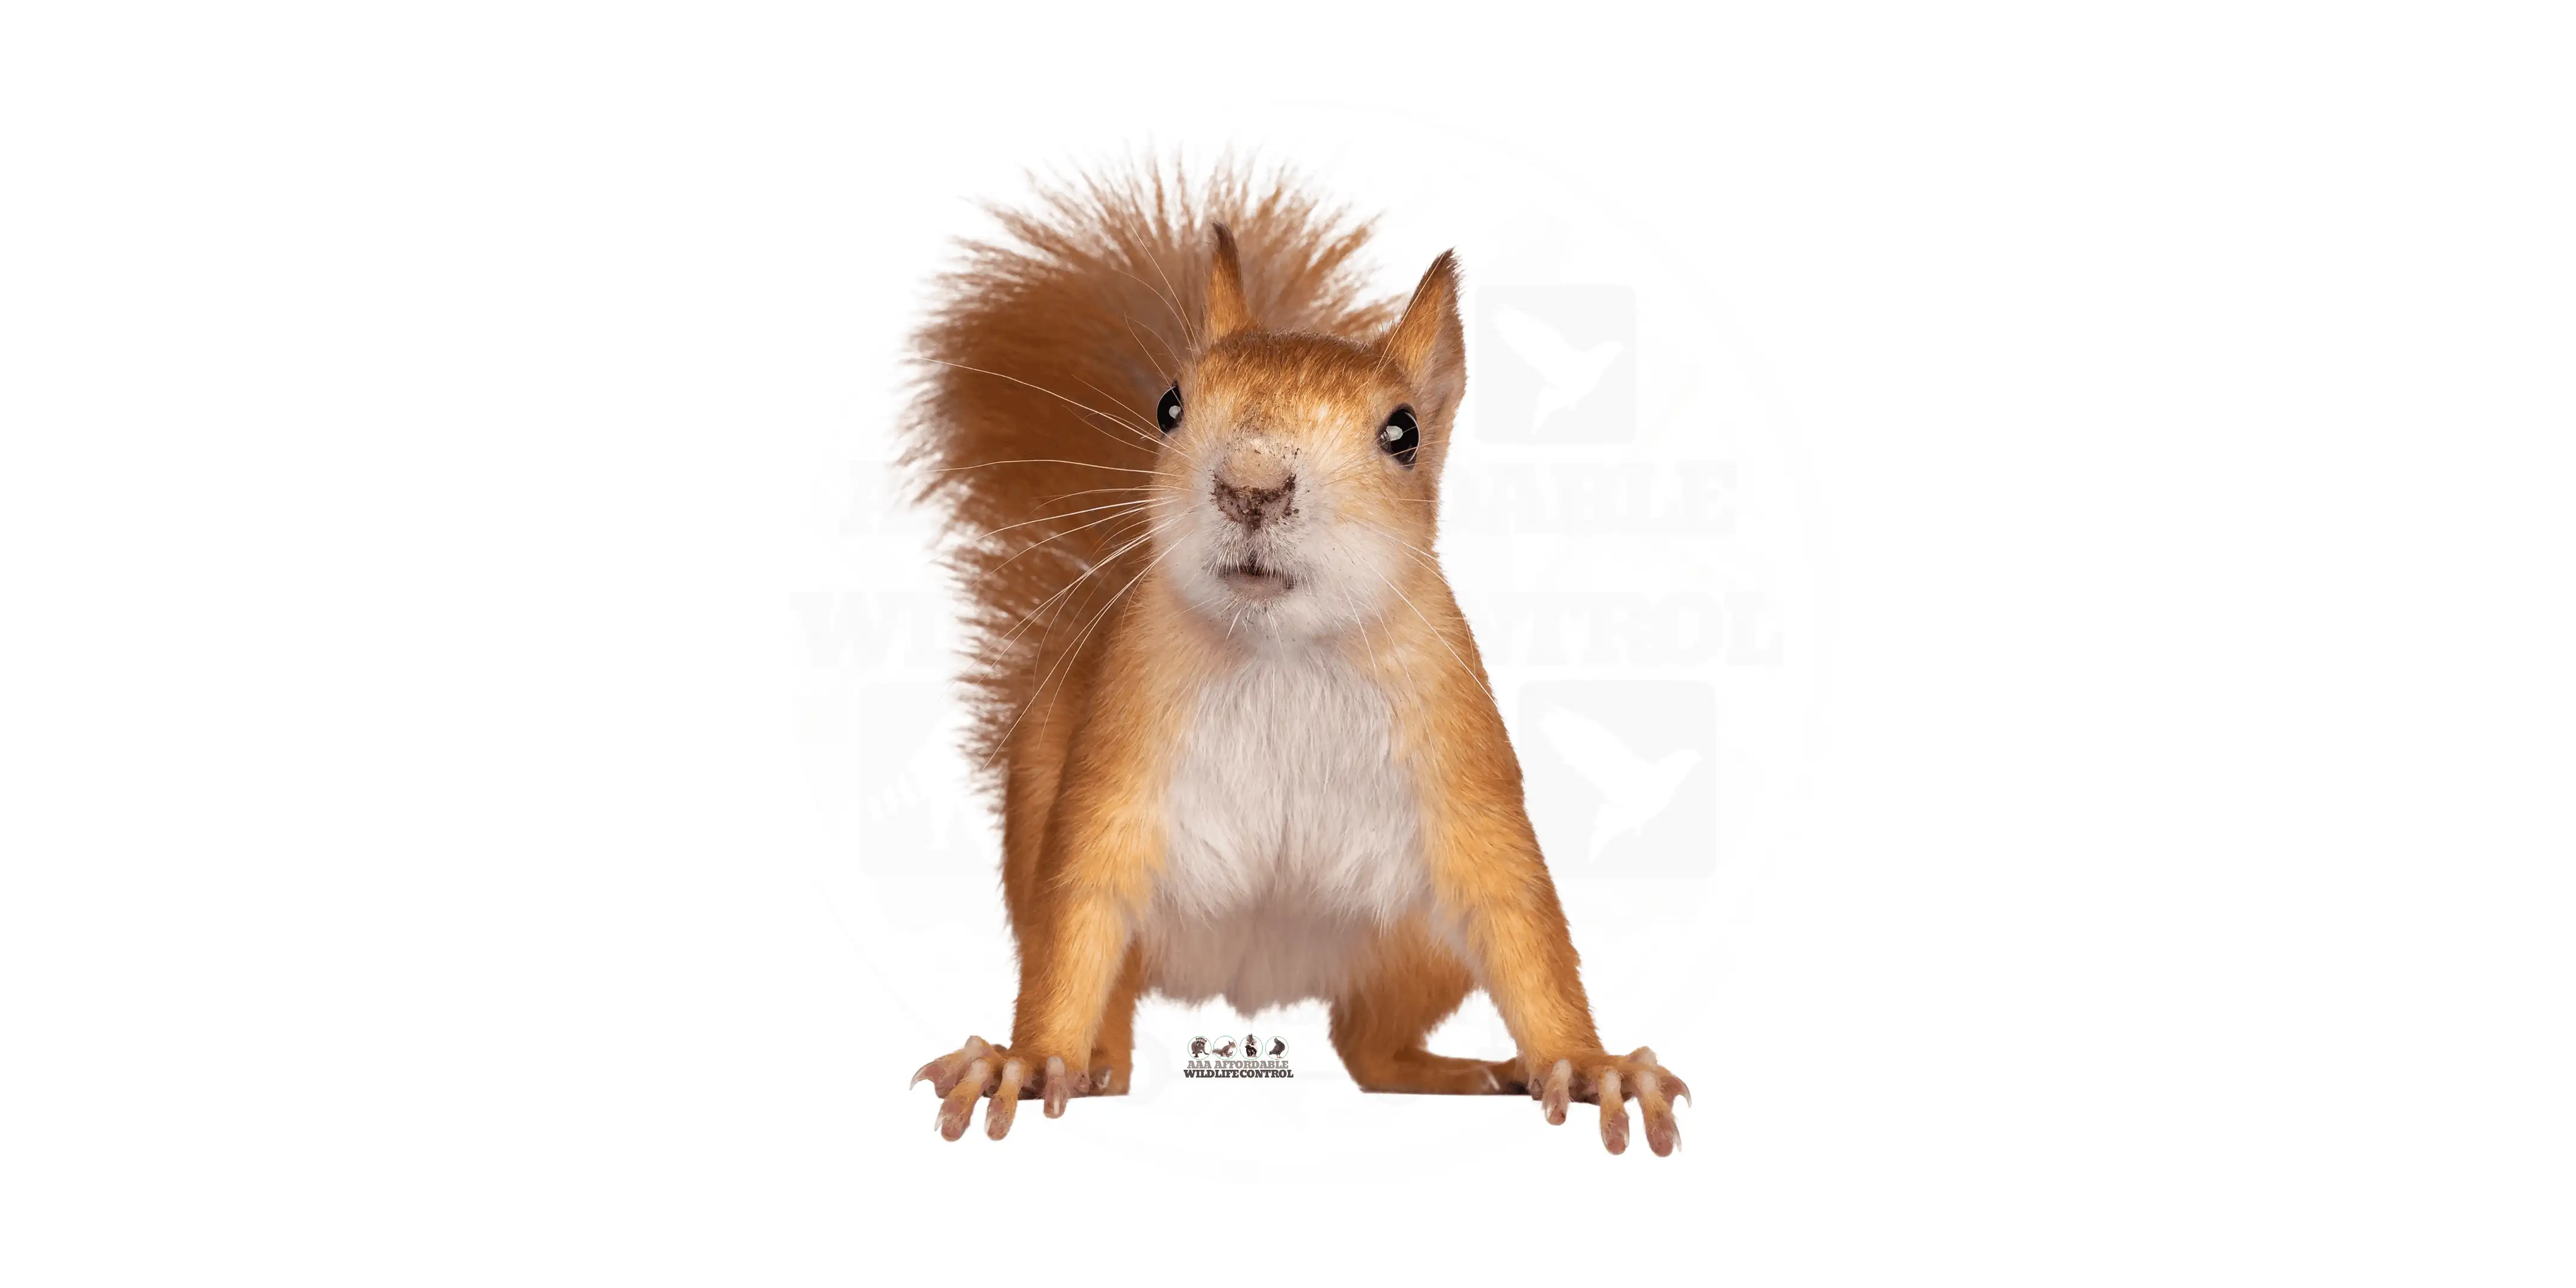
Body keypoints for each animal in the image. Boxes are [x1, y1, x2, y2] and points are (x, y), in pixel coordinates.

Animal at [902, 164, 1687, 1156]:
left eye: (1403, 433)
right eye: (1169, 407)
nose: (1252, 485)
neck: (1280, 650)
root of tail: (1257, 980)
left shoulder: (1463, 761)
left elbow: (1518, 917)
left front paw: (1590, 1067)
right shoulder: (1115, 765)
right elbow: (1082, 904)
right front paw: (1028, 1059)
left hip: (1414, 946)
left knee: (1369, 1046)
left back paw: (1465, 1071)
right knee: (1118, 1019)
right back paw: (1089, 1067)